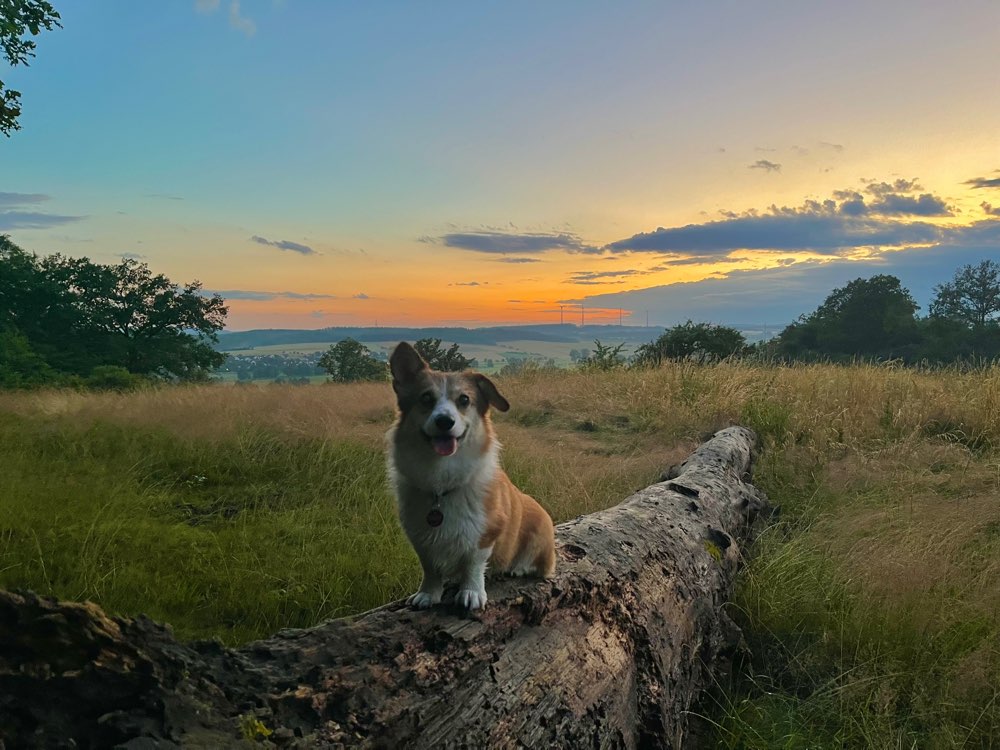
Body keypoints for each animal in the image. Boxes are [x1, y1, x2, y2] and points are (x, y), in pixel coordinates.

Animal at [384, 344, 556, 612]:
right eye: (426, 398)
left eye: (464, 400)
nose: (445, 421)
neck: (441, 483)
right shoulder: (422, 537)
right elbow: (430, 569)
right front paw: (428, 594)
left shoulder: (485, 533)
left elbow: (472, 565)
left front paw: (471, 593)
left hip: (540, 531)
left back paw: (519, 568)